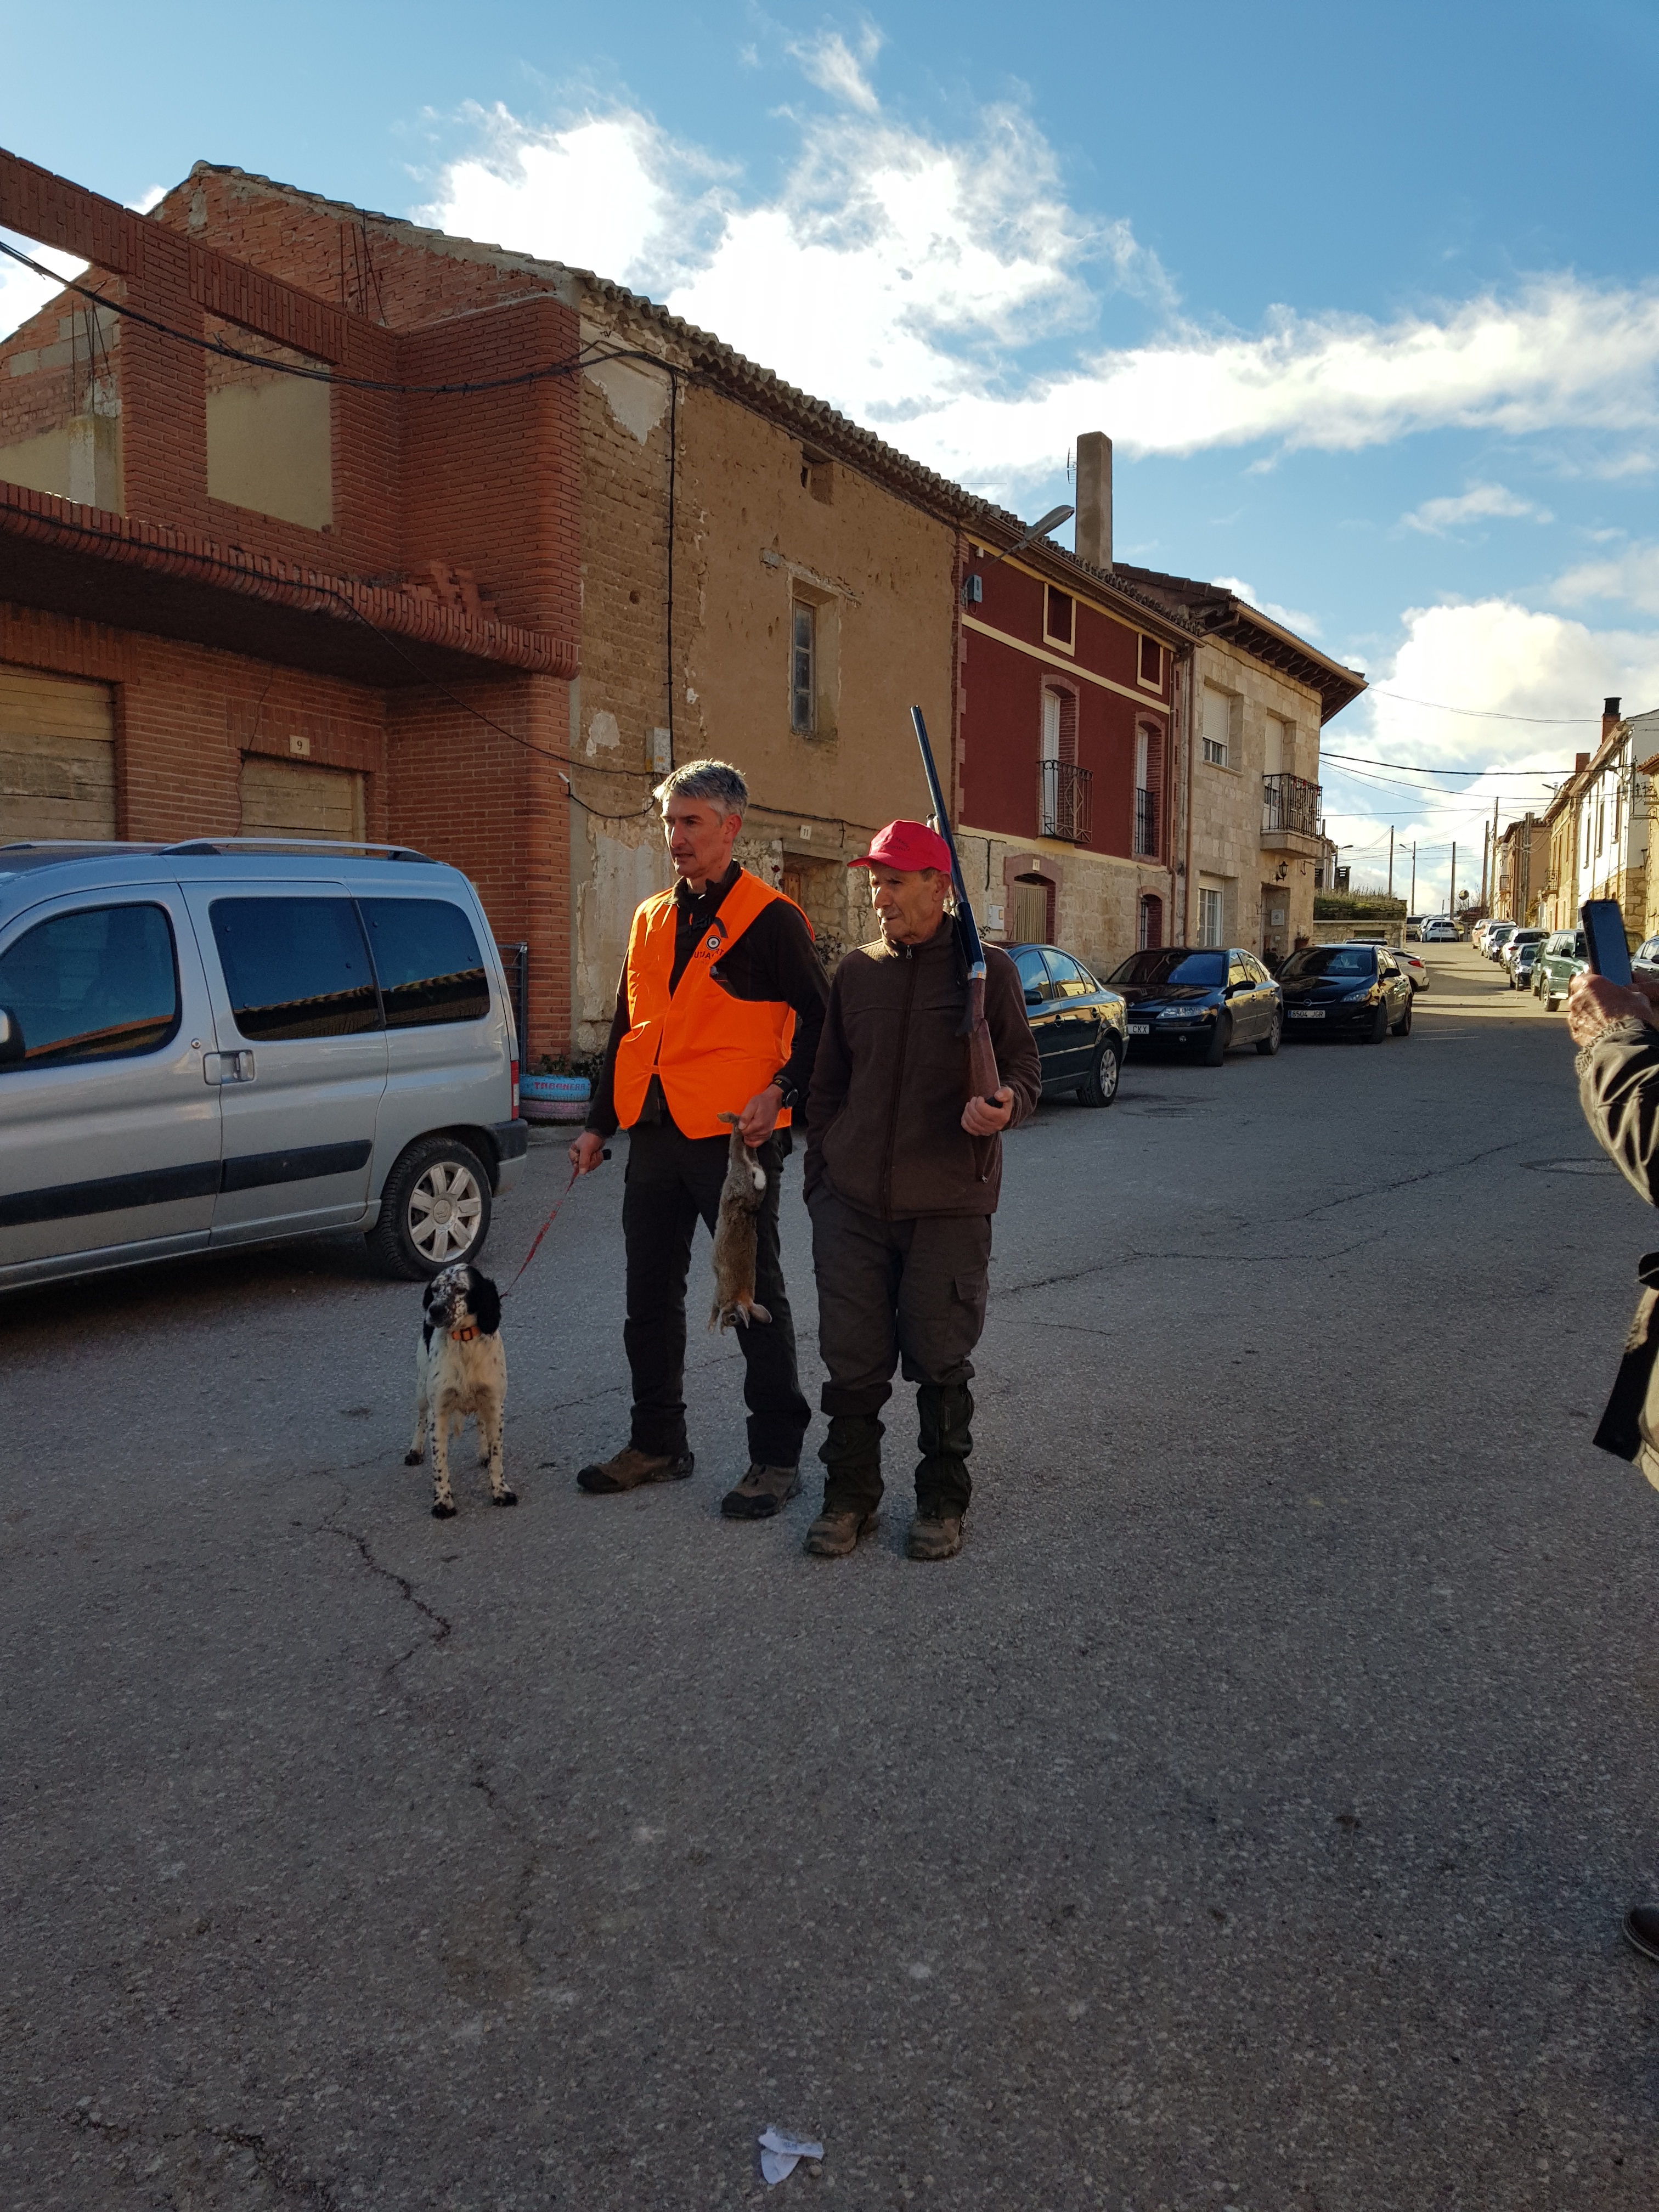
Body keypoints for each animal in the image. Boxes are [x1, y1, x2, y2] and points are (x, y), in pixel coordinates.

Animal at [405, 1264, 512, 1517]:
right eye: (435, 1289)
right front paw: (443, 1501)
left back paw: (483, 1452)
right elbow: (440, 1462)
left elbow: (497, 1455)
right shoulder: (439, 1411)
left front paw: (500, 1490)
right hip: (422, 1388)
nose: (434, 1310)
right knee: (420, 1417)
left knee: (481, 1423)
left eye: (461, 1289)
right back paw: (416, 1450)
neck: (464, 1340)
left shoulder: (494, 1404)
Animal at [709, 1111, 772, 1332]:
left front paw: (712, 1326)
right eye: (734, 1318)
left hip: (737, 1172)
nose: (725, 1327)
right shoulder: (721, 1292)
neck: (739, 1295)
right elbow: (715, 1307)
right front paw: (712, 1324)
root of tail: (750, 1168)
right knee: (740, 1144)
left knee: (739, 1146)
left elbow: (715, 1306)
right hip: (741, 1170)